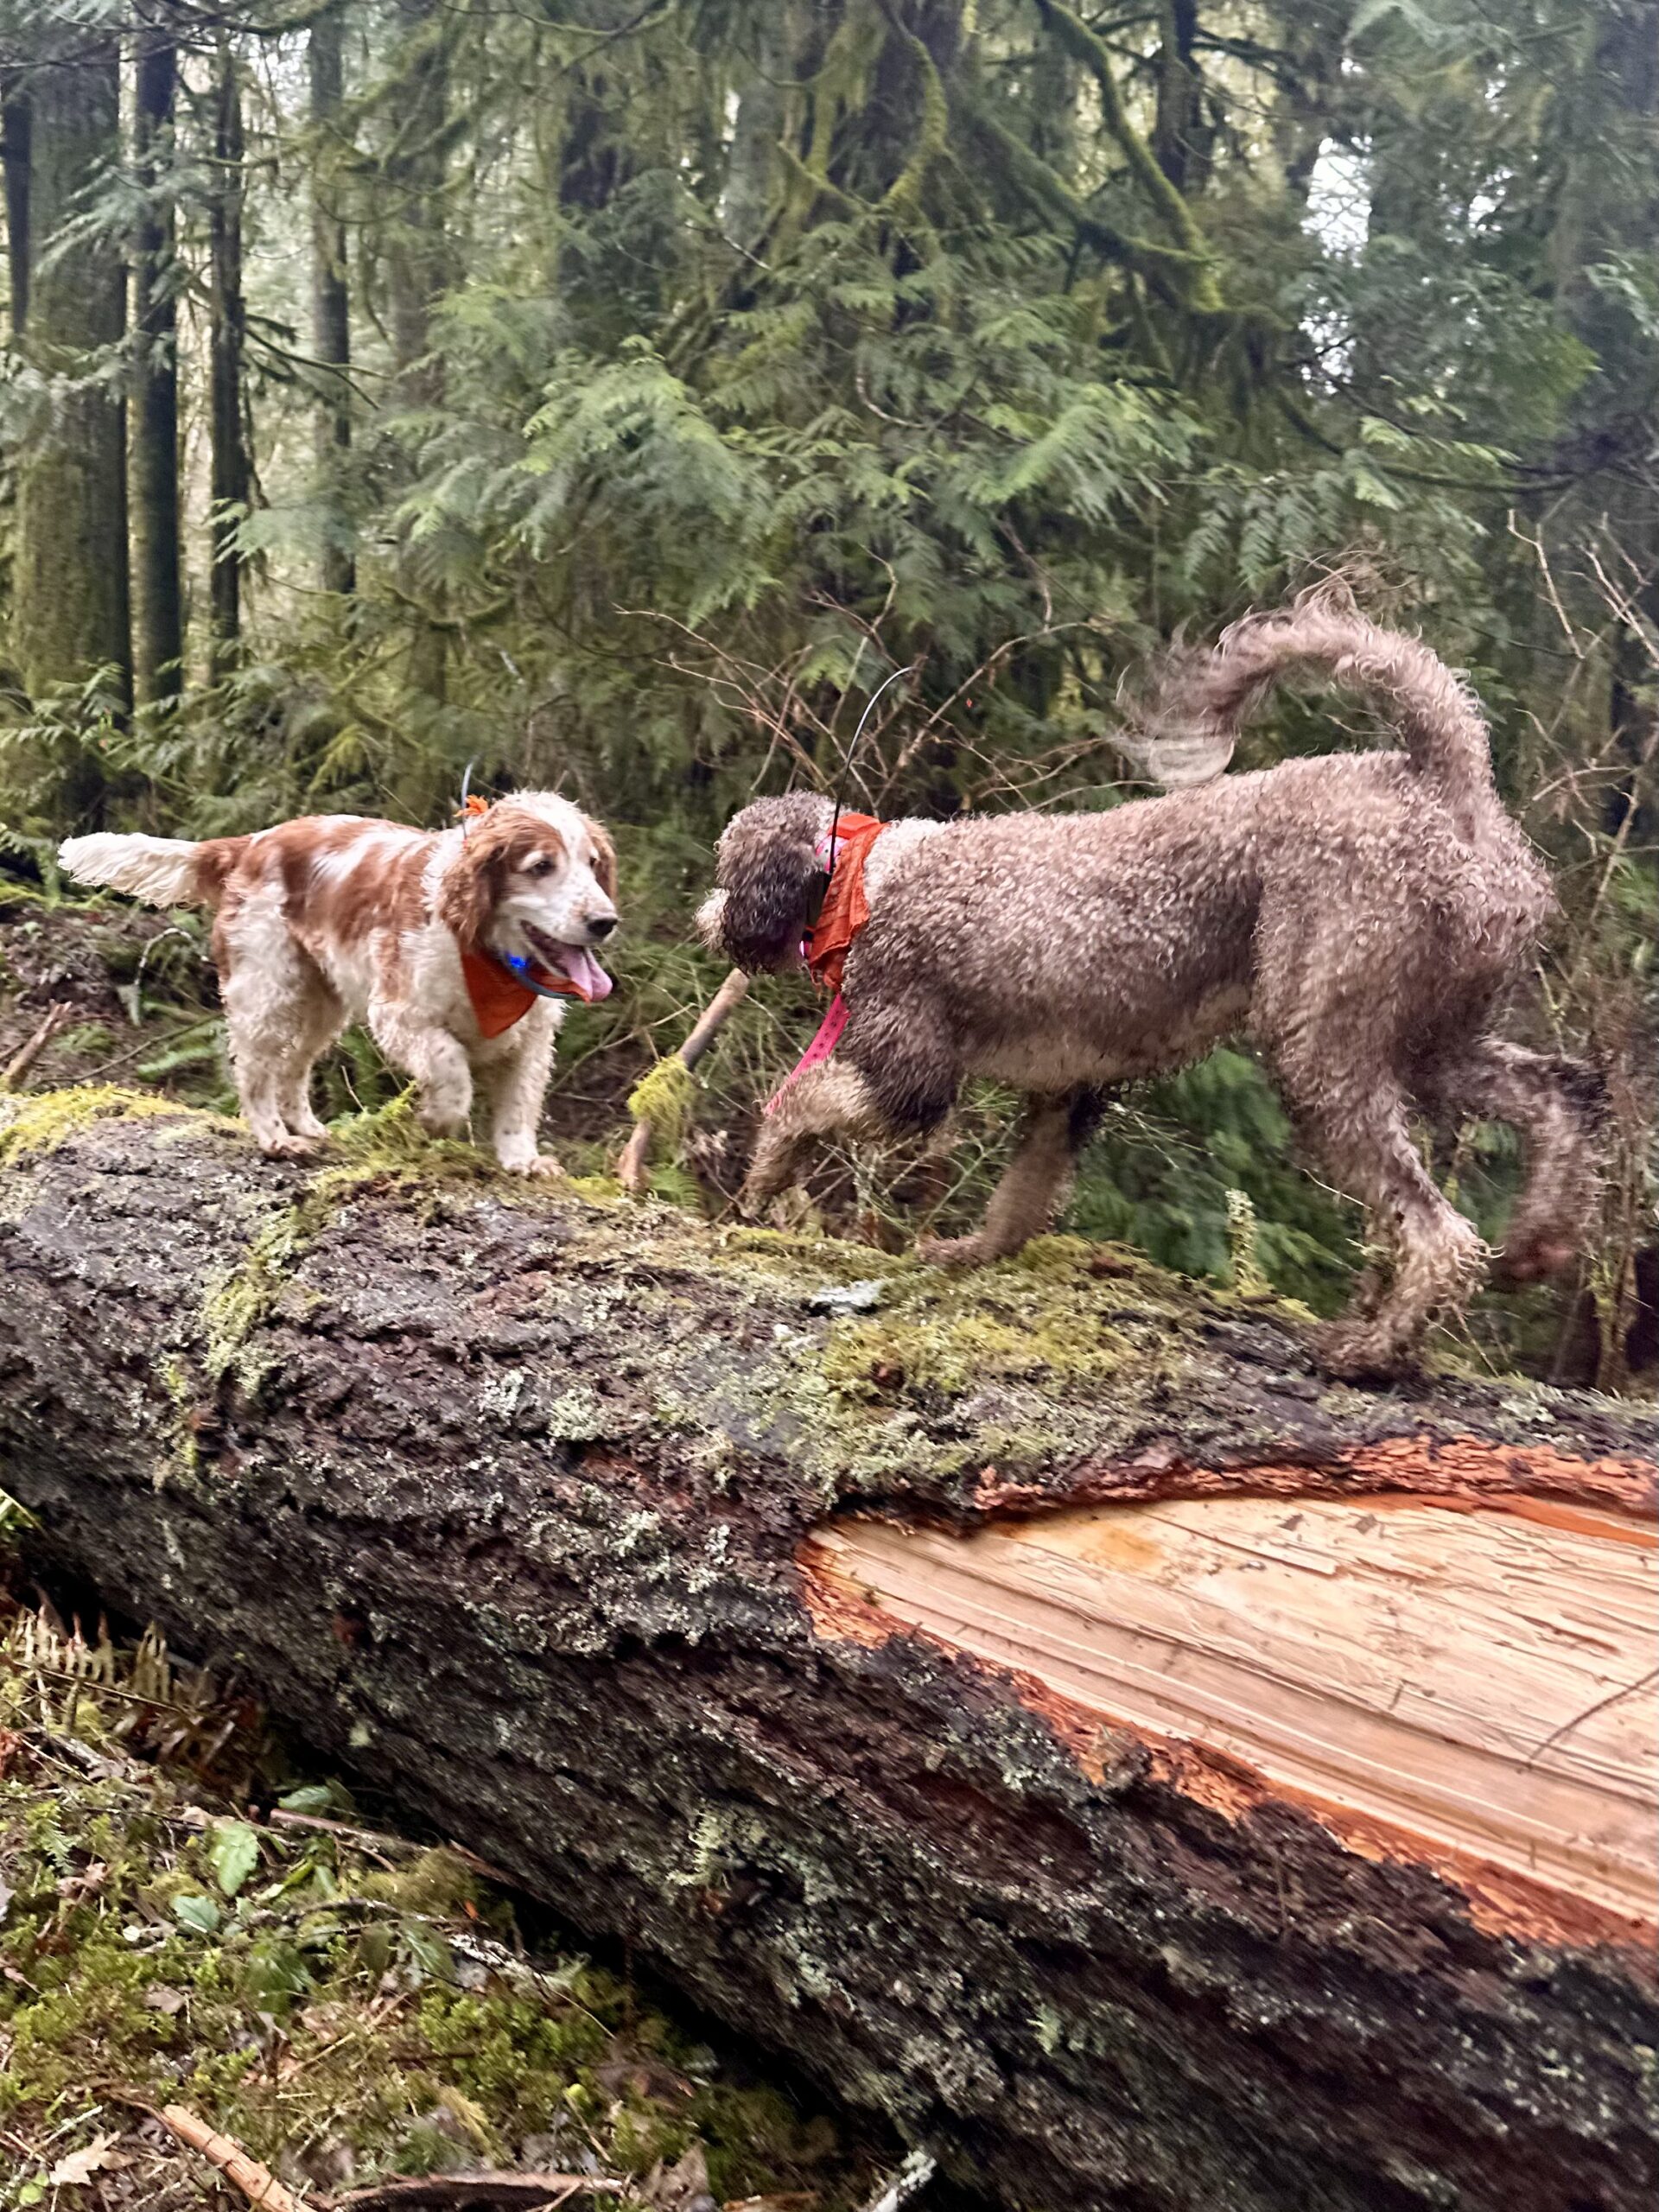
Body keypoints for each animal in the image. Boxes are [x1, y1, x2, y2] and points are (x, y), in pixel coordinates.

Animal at [698, 597, 1601, 1371]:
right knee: (1560, 1094)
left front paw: (766, 1172)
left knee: (1438, 1230)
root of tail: (1438, 775)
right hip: (1433, 1038)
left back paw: (1372, 1350)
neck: (869, 877)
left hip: (1323, 1046)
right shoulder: (1066, 1093)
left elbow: (804, 1099)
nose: (707, 917)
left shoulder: (913, 1075)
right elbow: (1020, 1200)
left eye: (726, 869)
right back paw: (1539, 1245)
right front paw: (971, 1255)